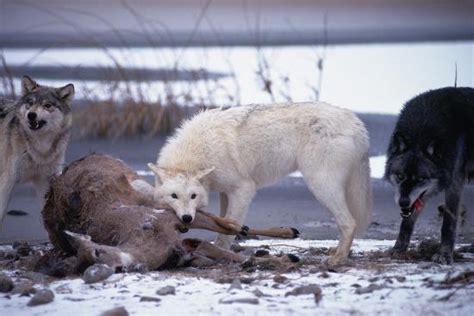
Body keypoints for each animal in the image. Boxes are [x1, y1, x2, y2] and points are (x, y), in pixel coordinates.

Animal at [0, 75, 74, 226]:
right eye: (30, 103)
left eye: (47, 105)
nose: (31, 115)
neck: (40, 150)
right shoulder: (7, 181)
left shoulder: (46, 182)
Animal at [143, 102, 372, 266]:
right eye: (174, 196)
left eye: (193, 196)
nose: (187, 219)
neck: (200, 153)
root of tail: (356, 122)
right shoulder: (226, 192)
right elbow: (225, 223)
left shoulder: (243, 189)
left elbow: (227, 230)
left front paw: (219, 251)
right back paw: (336, 252)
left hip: (320, 186)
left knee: (349, 222)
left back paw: (338, 259)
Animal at [386, 86, 474, 264]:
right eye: (400, 176)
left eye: (421, 179)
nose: (403, 202)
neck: (422, 129)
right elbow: (406, 223)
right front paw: (398, 249)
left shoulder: (455, 183)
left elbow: (448, 223)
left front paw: (444, 254)